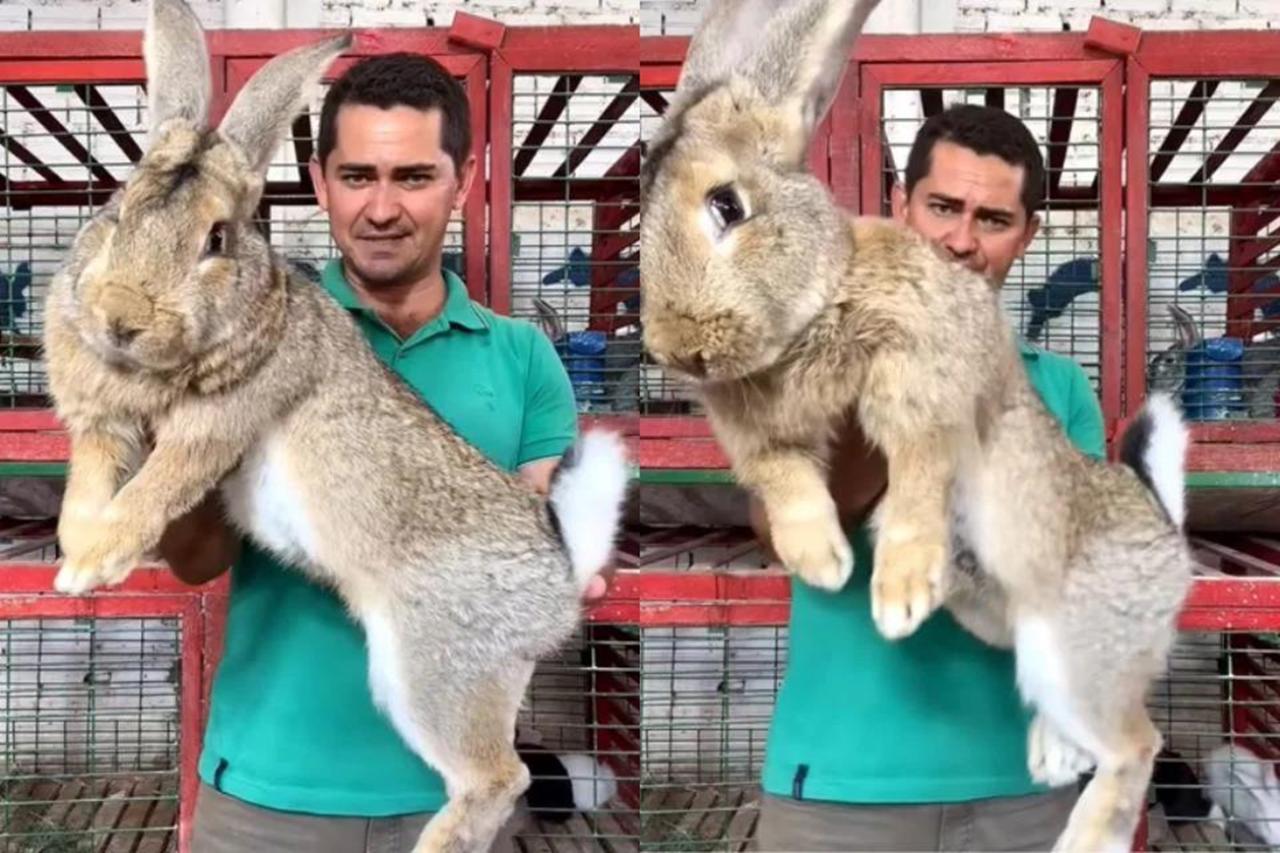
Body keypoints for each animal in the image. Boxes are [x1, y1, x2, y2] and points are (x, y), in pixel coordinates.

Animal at [39, 1, 631, 851]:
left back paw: (434, 843)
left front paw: (90, 564)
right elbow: (89, 482)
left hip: (432, 666)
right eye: (118, 213)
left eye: (216, 239)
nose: (121, 316)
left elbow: (157, 485)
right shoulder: (101, 422)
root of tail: (561, 569)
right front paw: (75, 552)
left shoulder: (215, 425)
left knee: (501, 778)